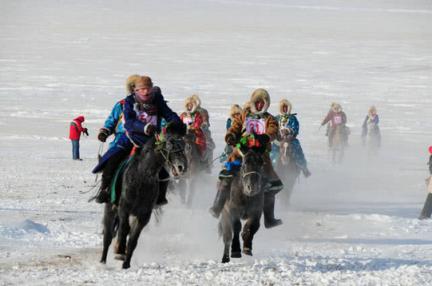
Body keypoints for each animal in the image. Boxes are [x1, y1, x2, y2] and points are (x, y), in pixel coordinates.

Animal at [101, 131, 189, 270]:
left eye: (184, 146)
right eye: (169, 146)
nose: (182, 167)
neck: (142, 177)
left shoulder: (143, 215)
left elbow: (133, 239)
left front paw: (126, 263)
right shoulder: (124, 209)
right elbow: (124, 229)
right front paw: (120, 250)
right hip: (110, 208)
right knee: (108, 235)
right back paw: (103, 261)